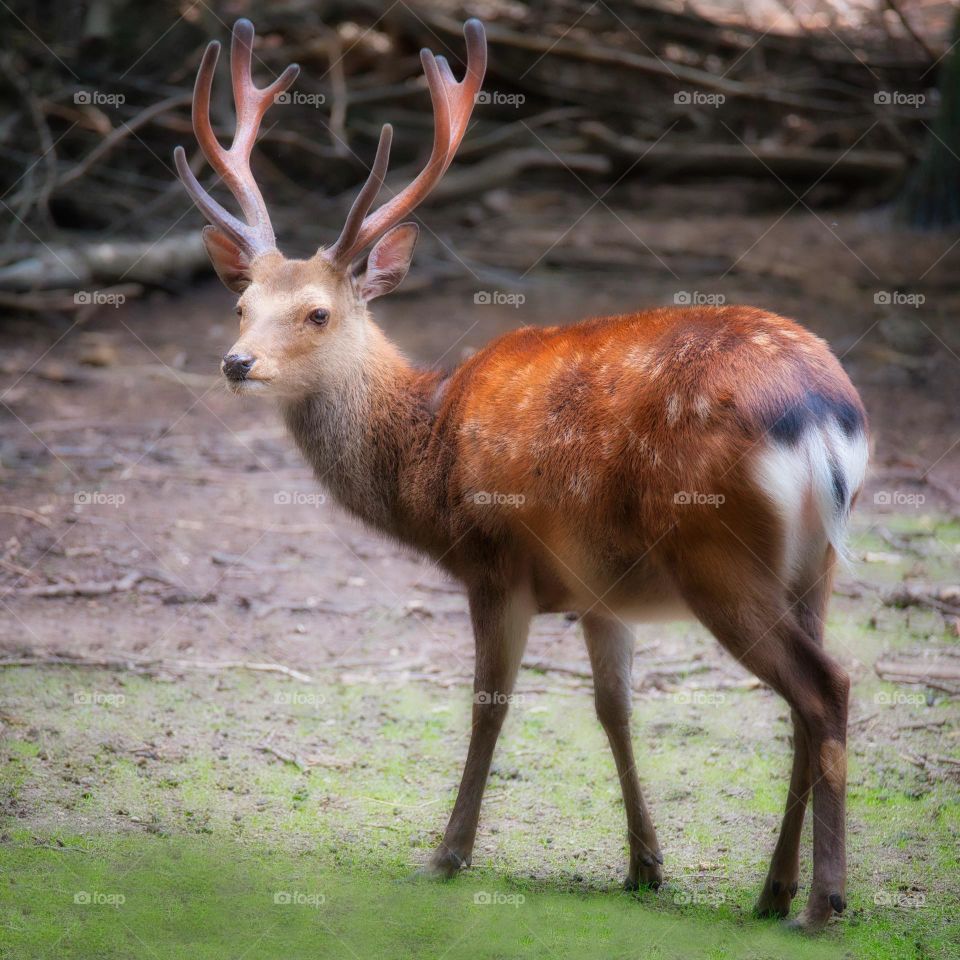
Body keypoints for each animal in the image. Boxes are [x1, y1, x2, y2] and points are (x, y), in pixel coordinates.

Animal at [174, 18, 868, 932]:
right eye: (241, 305)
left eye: (317, 313)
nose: (236, 362)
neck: (426, 453)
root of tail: (824, 415)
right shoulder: (602, 590)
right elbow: (614, 709)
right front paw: (644, 865)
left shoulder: (494, 561)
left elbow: (489, 703)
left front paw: (447, 853)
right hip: (812, 566)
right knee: (801, 706)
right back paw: (771, 889)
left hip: (718, 555)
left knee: (825, 688)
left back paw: (821, 902)